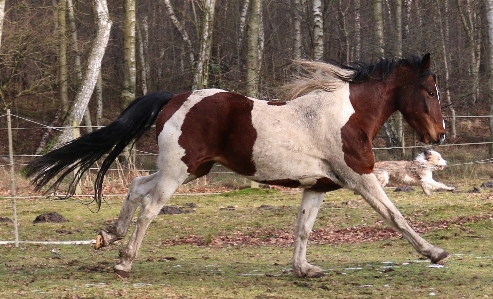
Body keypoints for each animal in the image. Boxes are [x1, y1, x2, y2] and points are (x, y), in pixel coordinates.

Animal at [26, 53, 450, 278]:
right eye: (430, 91)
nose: (440, 135)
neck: (348, 117)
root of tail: (173, 98)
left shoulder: (317, 186)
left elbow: (303, 229)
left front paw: (304, 270)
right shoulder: (360, 178)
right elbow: (395, 215)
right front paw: (434, 252)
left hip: (189, 170)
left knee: (136, 187)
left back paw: (108, 235)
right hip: (179, 172)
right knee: (149, 206)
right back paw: (124, 263)